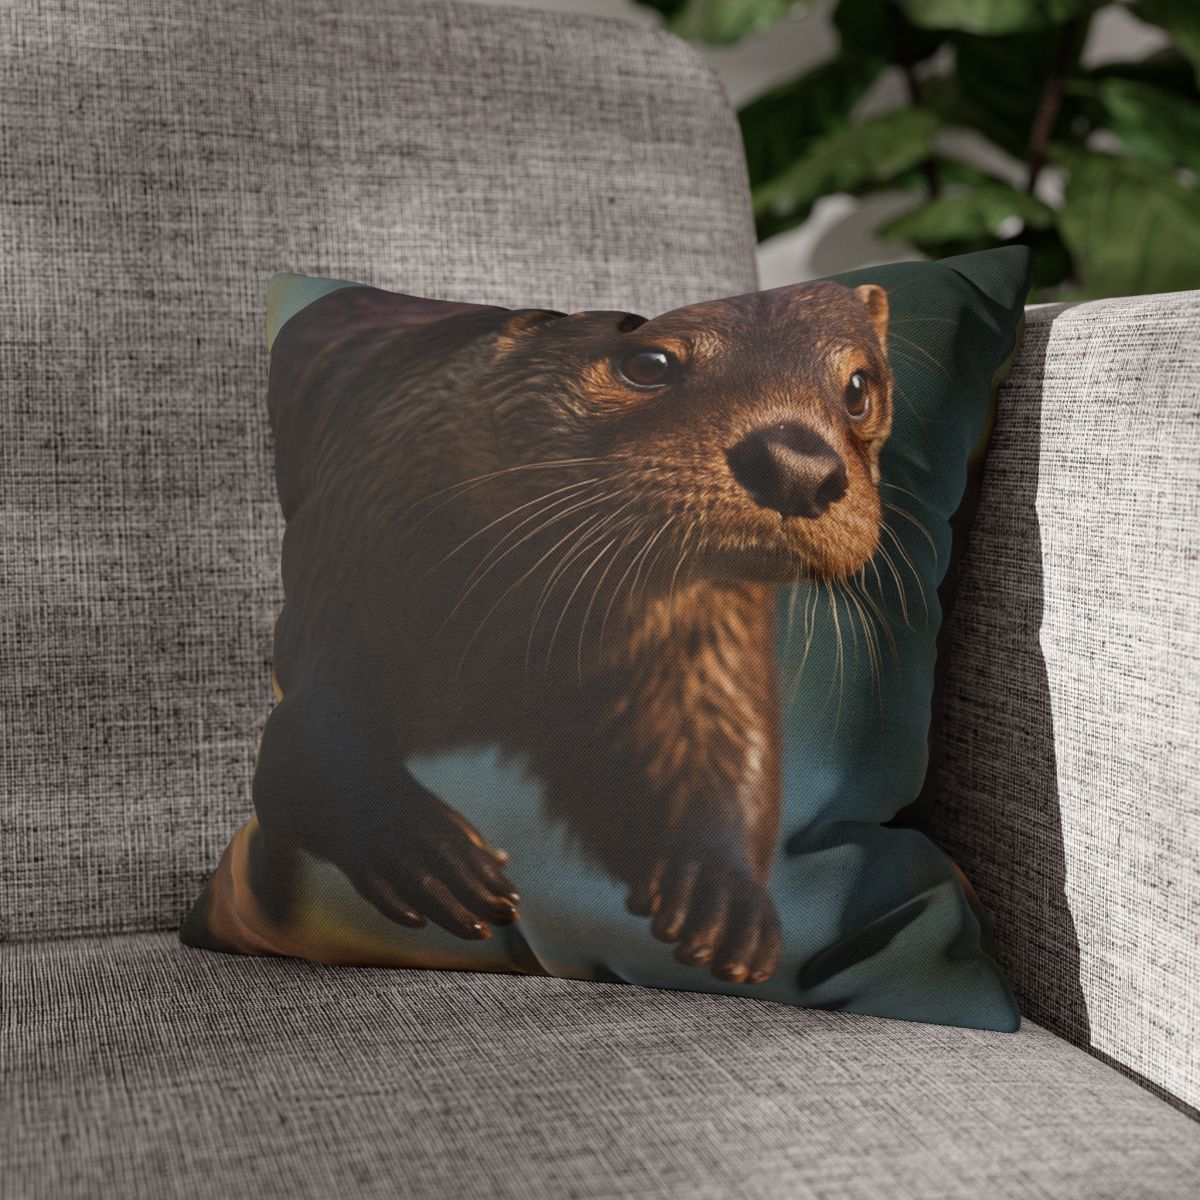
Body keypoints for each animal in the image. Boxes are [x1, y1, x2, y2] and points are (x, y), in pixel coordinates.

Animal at [218, 279, 892, 987]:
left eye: (857, 387)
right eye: (647, 363)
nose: (796, 464)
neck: (498, 637)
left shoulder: (706, 640)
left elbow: (717, 742)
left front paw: (723, 897)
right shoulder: (347, 545)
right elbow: (310, 734)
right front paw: (423, 849)